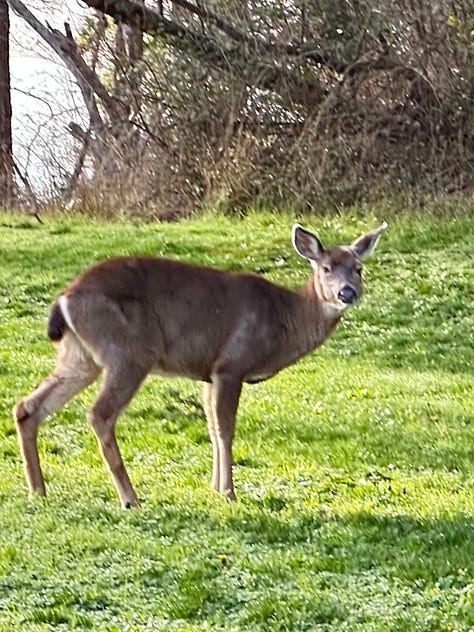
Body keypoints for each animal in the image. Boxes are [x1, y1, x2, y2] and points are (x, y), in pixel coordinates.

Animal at [12, 220, 386, 506]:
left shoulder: (209, 374)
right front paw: (229, 493)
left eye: (359, 268)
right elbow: (226, 428)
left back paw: (38, 491)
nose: (347, 293)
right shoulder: (231, 364)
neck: (285, 318)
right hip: (128, 351)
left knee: (27, 407)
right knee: (99, 414)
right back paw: (130, 498)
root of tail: (64, 299)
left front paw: (215, 489)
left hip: (80, 356)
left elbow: (211, 427)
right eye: (325, 268)